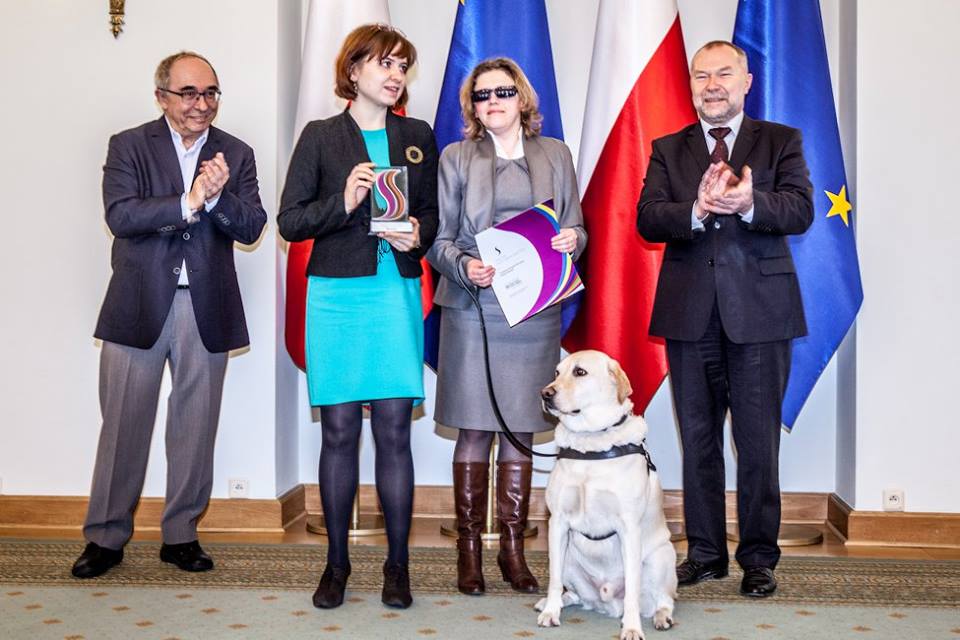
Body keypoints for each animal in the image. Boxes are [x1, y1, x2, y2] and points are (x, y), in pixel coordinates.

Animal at [536, 350, 680, 640]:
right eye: (557, 372)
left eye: (580, 372)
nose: (545, 393)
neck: (590, 442)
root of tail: (607, 603)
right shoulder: (557, 522)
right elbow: (554, 580)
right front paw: (550, 612)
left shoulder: (629, 527)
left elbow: (633, 591)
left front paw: (632, 627)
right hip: (568, 558)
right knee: (575, 594)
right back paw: (551, 603)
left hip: (661, 557)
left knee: (664, 599)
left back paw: (661, 618)